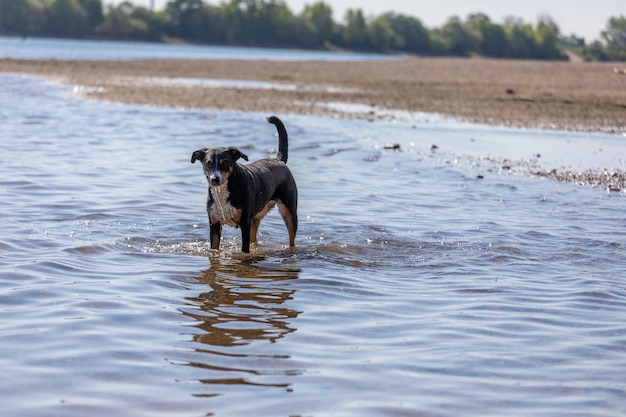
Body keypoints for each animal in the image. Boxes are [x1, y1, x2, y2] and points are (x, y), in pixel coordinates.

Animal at [190, 115, 298, 252]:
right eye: (208, 163)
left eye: (225, 162)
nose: (215, 179)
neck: (223, 191)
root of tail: (279, 160)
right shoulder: (214, 223)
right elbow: (214, 249)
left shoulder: (245, 223)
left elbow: (244, 250)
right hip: (255, 218)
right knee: (254, 238)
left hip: (289, 213)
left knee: (292, 239)